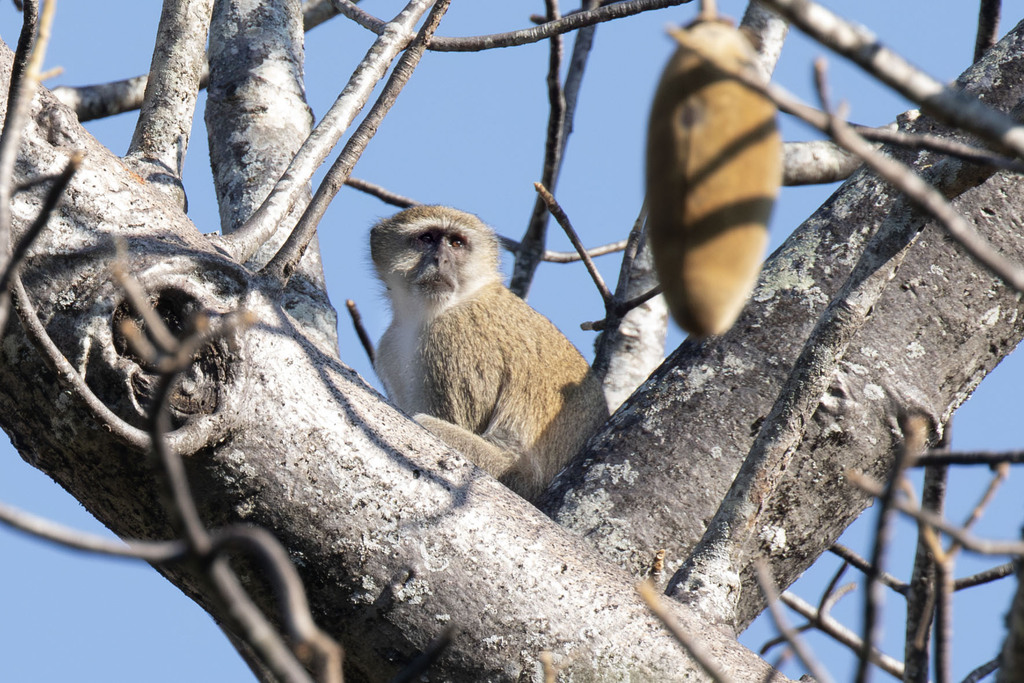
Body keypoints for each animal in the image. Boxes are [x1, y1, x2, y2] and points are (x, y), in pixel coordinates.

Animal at [370, 205, 609, 502]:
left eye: (456, 243)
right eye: (427, 238)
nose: (440, 260)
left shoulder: (454, 335)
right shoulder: (388, 348)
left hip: (512, 473)